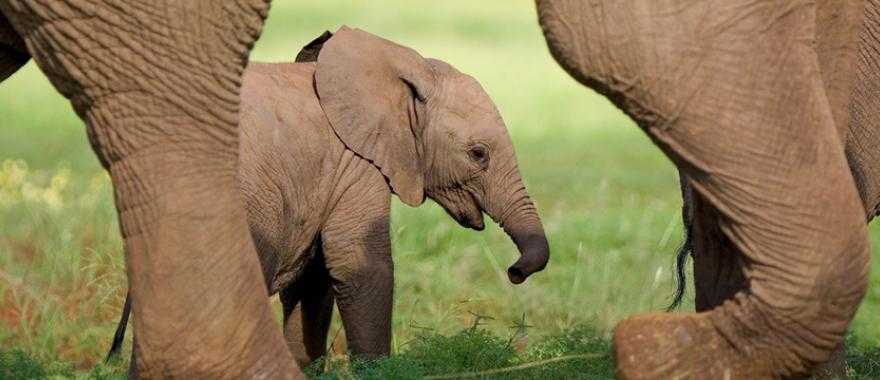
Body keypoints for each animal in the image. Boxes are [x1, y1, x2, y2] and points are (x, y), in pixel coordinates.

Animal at [106, 27, 548, 368]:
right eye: (479, 154)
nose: (514, 271)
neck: (404, 63)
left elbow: (313, 279)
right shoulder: (355, 162)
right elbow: (360, 264)